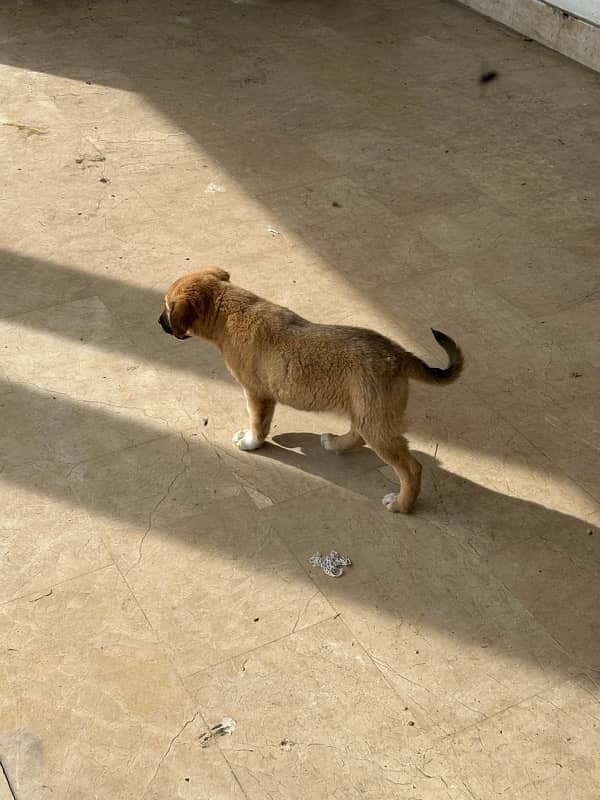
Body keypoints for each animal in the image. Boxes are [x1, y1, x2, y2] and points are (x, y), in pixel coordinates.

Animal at [159, 268, 464, 516]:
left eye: (167, 307)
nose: (158, 322)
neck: (229, 307)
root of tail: (399, 355)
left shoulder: (256, 393)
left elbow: (258, 424)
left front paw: (251, 442)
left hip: (376, 418)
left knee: (411, 468)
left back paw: (401, 505)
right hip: (366, 408)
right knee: (357, 434)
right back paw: (335, 444)